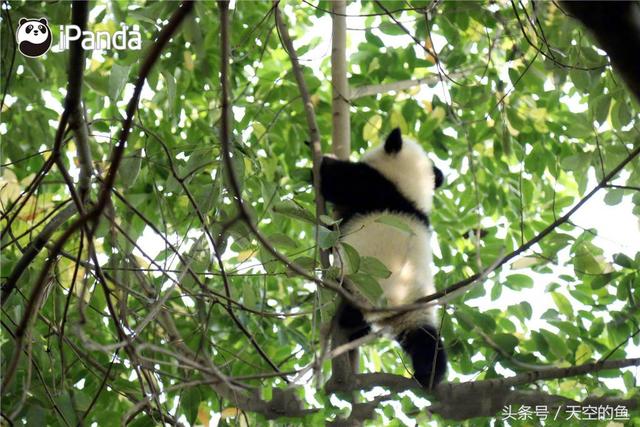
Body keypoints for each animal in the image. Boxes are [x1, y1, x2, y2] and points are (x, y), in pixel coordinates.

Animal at [318, 126, 444, 388]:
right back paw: (430, 374)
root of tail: (393, 307)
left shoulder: (372, 187)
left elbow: (337, 181)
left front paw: (323, 157)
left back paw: (348, 320)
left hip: (361, 287)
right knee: (427, 340)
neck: (408, 194)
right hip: (417, 308)